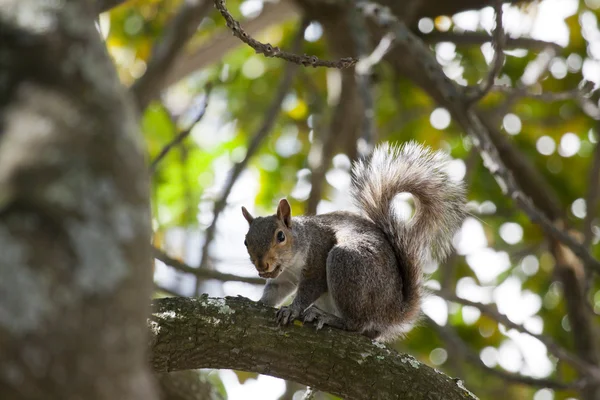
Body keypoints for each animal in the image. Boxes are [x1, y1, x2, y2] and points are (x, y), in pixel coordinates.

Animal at [241, 141, 466, 340]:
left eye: (281, 236)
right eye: (245, 241)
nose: (262, 265)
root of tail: (392, 312)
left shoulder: (317, 257)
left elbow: (310, 288)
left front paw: (292, 310)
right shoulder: (284, 279)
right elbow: (274, 291)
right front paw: (260, 302)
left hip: (346, 266)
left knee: (356, 324)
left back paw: (328, 318)